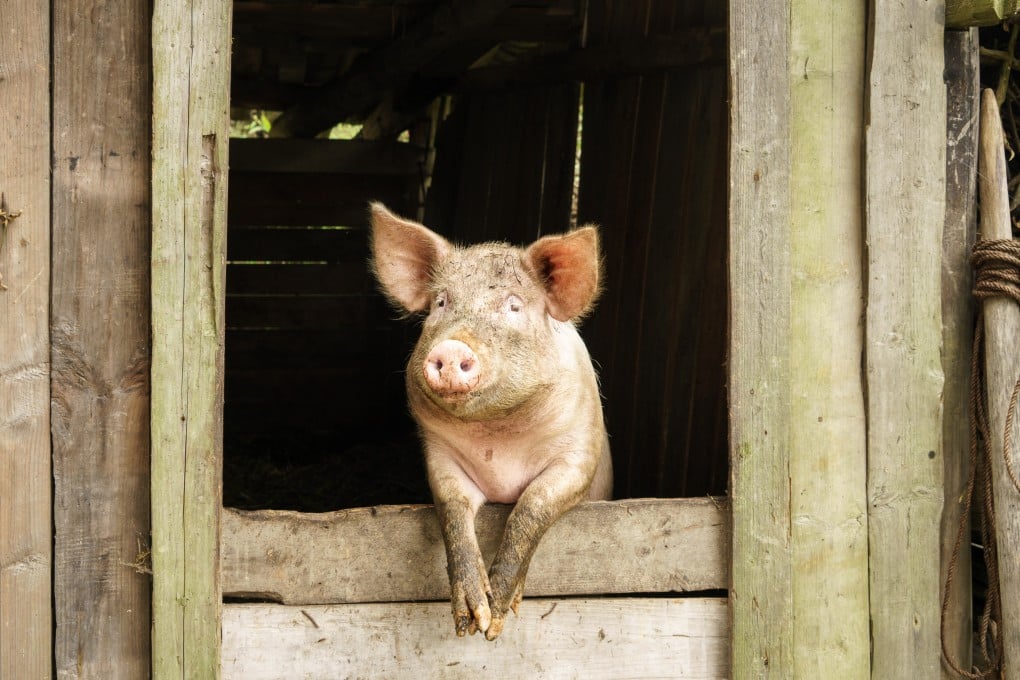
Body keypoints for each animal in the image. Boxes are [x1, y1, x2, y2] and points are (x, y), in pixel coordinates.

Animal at [369, 203, 612, 640]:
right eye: (441, 303)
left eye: (514, 306)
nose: (451, 349)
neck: (499, 438)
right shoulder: (441, 457)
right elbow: (453, 511)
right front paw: (472, 621)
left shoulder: (579, 455)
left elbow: (532, 506)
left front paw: (496, 619)